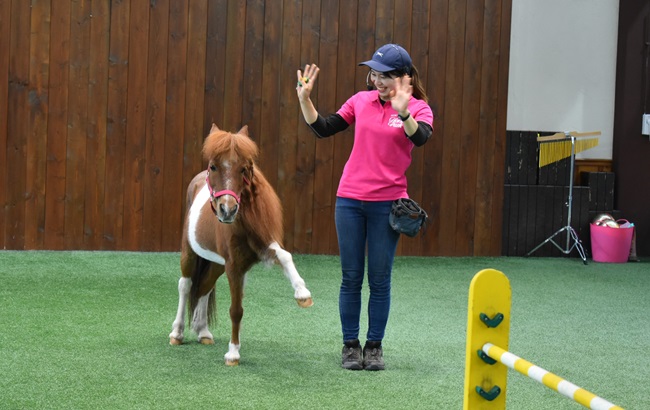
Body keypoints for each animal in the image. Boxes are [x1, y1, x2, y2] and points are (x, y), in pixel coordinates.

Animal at [168, 122, 312, 366]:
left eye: (244, 169)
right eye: (214, 166)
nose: (227, 210)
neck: (242, 222)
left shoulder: (264, 245)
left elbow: (285, 256)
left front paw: (303, 294)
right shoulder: (234, 267)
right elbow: (236, 310)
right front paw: (233, 354)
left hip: (216, 262)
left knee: (204, 286)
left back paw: (203, 331)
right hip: (190, 253)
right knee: (185, 285)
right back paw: (177, 333)